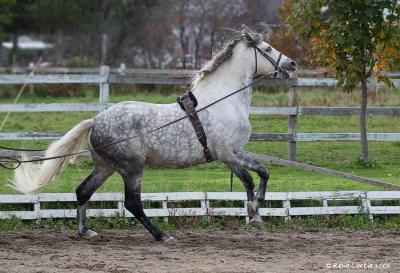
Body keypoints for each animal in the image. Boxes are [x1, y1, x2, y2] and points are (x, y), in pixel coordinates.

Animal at [12, 25, 296, 242]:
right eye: (267, 49)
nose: (292, 64)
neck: (223, 100)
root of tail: (95, 121)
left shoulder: (230, 156)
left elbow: (254, 177)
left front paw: (254, 214)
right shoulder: (230, 153)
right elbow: (257, 175)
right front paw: (256, 211)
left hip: (105, 166)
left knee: (83, 191)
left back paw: (86, 232)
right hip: (131, 168)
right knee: (132, 203)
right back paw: (162, 235)